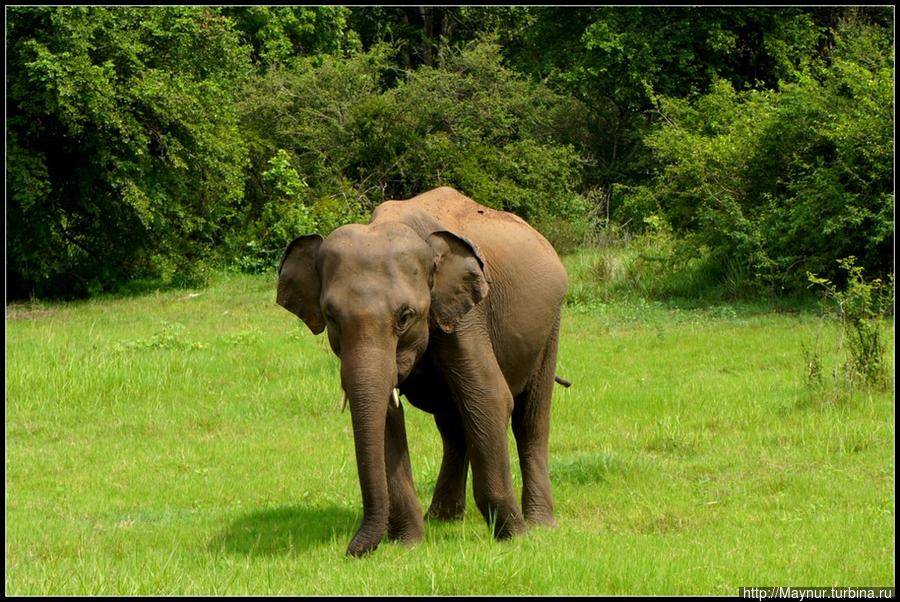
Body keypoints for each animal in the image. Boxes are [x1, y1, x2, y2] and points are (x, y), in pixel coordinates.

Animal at [276, 185, 568, 556]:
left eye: (405, 316)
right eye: (331, 317)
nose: (351, 551)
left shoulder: (467, 317)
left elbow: (489, 399)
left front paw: (514, 537)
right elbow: (386, 417)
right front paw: (407, 545)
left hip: (551, 324)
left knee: (530, 421)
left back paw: (541, 525)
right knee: (453, 426)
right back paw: (442, 519)